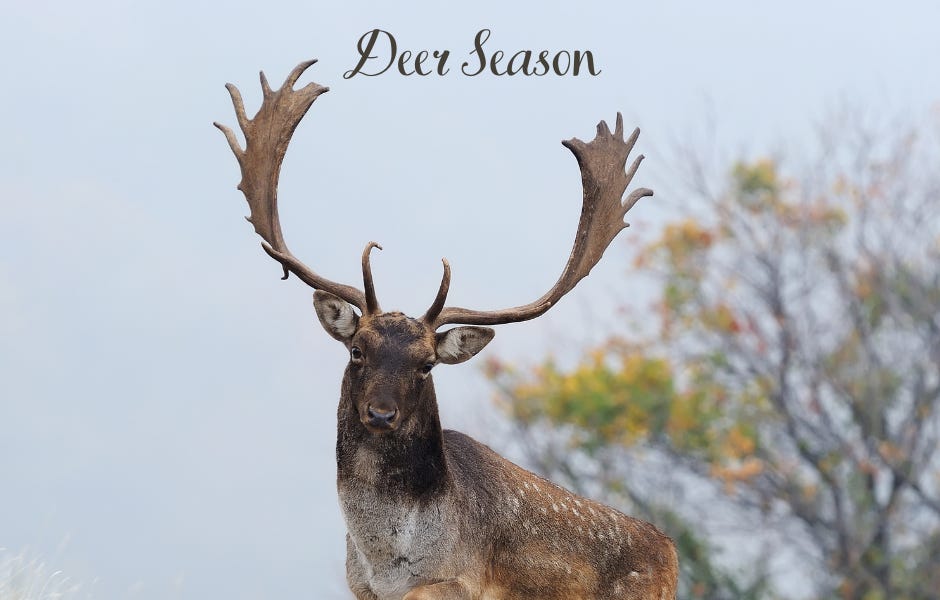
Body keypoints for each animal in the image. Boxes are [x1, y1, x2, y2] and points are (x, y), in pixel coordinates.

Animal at [215, 60, 679, 600]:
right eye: (357, 350)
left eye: (426, 365)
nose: (380, 413)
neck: (386, 562)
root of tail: (670, 552)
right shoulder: (360, 587)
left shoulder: (462, 580)